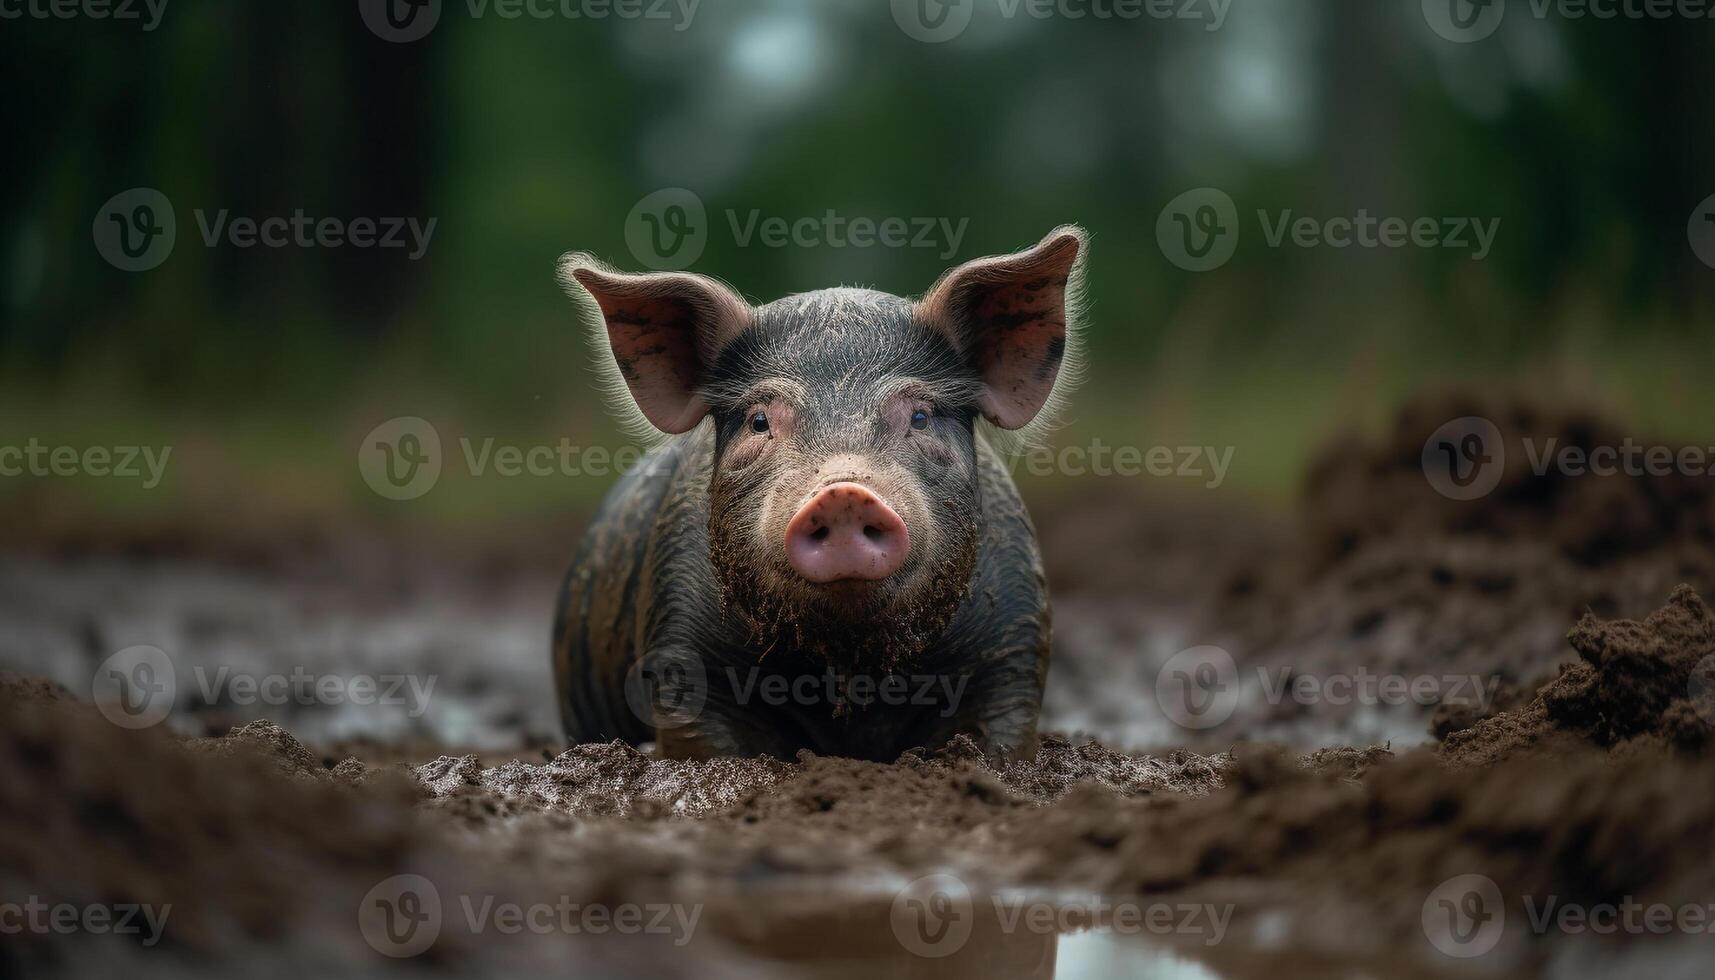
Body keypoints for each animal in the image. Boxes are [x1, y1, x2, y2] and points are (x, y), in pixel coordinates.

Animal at [548, 228, 1083, 758]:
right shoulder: (677, 638)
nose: (843, 493)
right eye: (758, 421)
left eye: (920, 416)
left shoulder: (1014, 644)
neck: (847, 667)